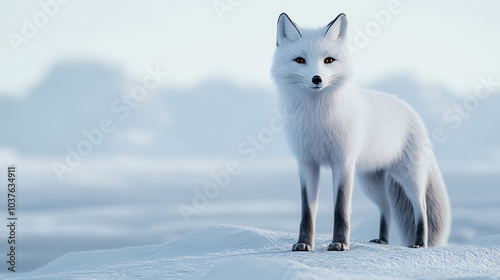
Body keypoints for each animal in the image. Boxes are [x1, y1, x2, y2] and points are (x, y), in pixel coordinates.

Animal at [272, 12, 452, 252]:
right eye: (300, 60)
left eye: (328, 60)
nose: (317, 79)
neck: (318, 119)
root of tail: (412, 111)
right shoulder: (307, 163)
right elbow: (307, 211)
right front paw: (304, 244)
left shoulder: (344, 162)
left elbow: (341, 208)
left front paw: (339, 243)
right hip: (371, 184)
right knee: (386, 207)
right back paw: (383, 240)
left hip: (408, 177)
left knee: (420, 207)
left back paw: (419, 243)